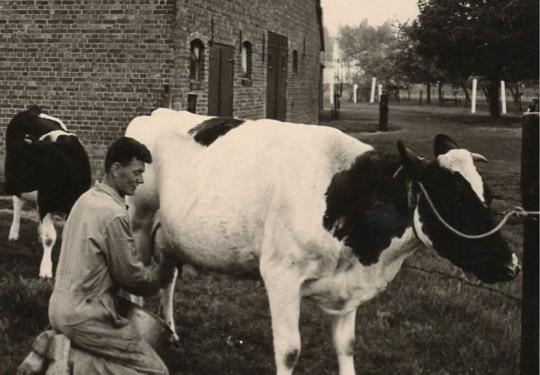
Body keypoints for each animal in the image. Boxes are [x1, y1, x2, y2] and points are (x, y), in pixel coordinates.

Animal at [4, 106, 91, 280]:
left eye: (32, 162)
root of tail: (33, 109)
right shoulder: (45, 203)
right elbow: (50, 238)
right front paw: (45, 270)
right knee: (17, 205)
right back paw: (14, 233)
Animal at [125, 108, 520, 375]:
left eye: (489, 196)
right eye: (455, 200)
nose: (512, 265)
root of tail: (157, 113)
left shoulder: (348, 285)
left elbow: (346, 345)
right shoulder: (281, 275)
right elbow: (289, 351)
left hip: (171, 236)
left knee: (168, 279)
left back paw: (172, 333)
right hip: (139, 223)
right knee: (132, 286)